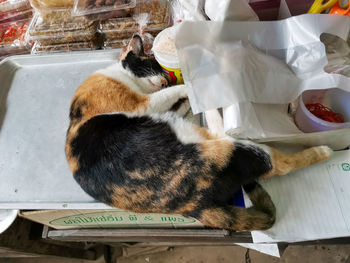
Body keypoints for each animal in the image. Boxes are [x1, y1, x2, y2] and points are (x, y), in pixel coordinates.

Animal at [66, 35, 334, 231]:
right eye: (151, 64)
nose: (166, 79)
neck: (117, 73)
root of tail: (193, 207)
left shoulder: (160, 108)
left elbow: (175, 102)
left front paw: (187, 97)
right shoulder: (142, 104)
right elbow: (171, 94)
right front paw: (187, 87)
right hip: (232, 148)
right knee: (278, 163)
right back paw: (324, 150)